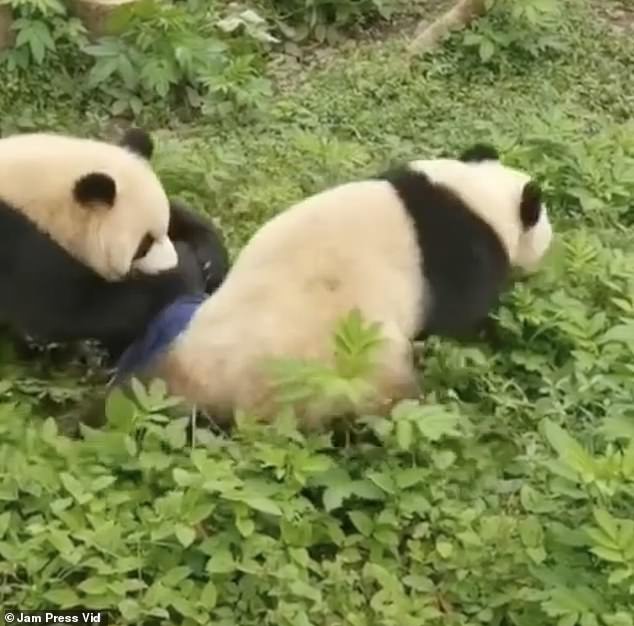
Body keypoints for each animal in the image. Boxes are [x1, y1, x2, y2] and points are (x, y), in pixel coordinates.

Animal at [0, 125, 227, 356]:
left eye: (162, 231)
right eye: (144, 245)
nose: (172, 262)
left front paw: (208, 262)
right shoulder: (16, 241)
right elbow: (66, 309)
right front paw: (183, 271)